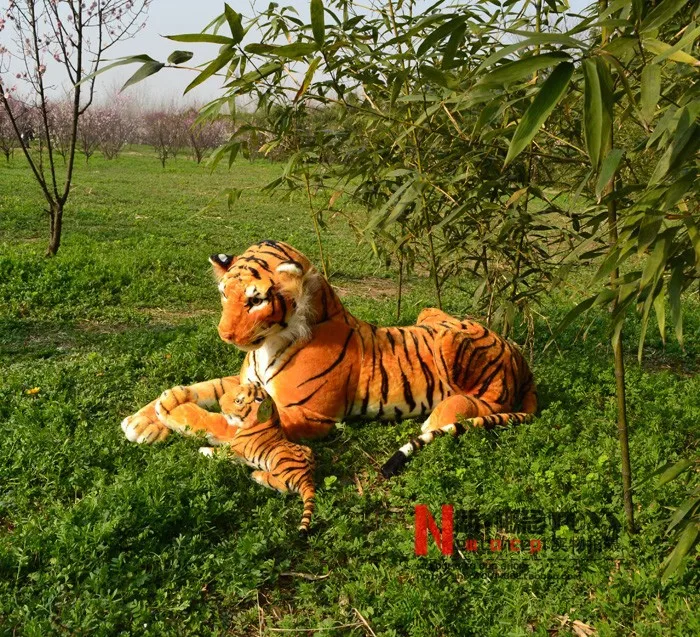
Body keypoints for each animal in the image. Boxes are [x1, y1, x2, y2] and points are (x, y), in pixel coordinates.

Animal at [121, 239, 537, 476]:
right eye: (225, 294)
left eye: (255, 300)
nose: (224, 335)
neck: (267, 343)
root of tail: (519, 353)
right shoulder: (245, 383)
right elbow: (202, 388)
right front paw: (149, 414)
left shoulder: (303, 415)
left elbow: (224, 424)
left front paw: (174, 413)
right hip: (429, 313)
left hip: (455, 346)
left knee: (486, 402)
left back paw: (443, 413)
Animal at [156, 382, 316, 534]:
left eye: (238, 401)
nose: (220, 403)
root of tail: (307, 477)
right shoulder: (233, 442)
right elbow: (224, 441)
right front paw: (211, 438)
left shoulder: (235, 451)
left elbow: (218, 451)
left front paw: (203, 449)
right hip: (307, 450)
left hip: (278, 460)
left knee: (282, 487)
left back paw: (257, 475)